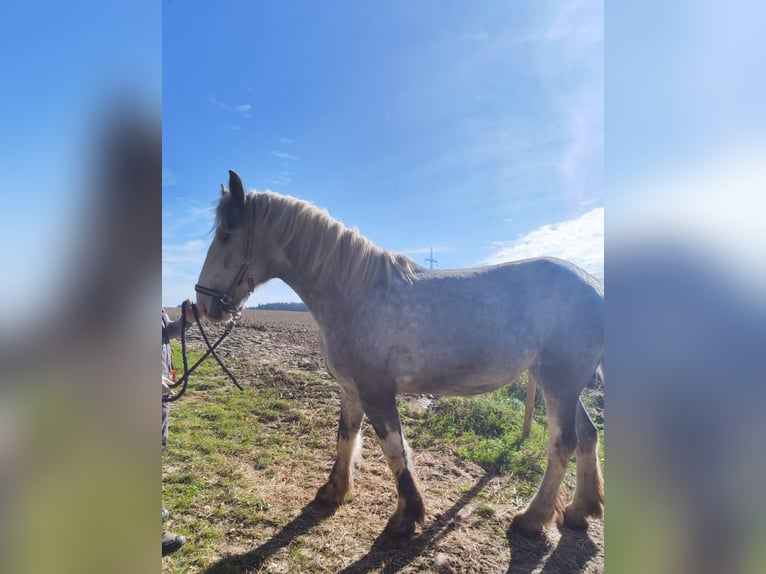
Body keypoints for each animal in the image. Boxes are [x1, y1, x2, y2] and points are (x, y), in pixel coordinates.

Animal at [195, 170, 604, 538]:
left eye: (226, 235)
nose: (204, 304)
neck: (354, 291)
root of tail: (595, 284)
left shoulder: (377, 390)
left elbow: (394, 450)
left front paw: (406, 517)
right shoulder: (351, 389)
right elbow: (345, 438)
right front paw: (333, 492)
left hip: (559, 380)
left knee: (563, 443)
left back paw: (532, 520)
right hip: (565, 383)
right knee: (587, 434)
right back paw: (580, 511)